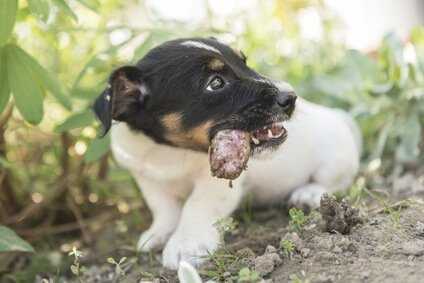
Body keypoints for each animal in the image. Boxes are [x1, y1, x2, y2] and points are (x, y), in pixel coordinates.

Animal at [93, 37, 362, 270]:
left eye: (244, 62)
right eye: (216, 83)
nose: (291, 97)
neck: (170, 153)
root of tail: (340, 117)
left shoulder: (214, 183)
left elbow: (196, 205)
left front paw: (187, 243)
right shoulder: (147, 178)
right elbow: (163, 207)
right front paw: (159, 233)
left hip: (334, 161)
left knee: (337, 181)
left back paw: (309, 193)